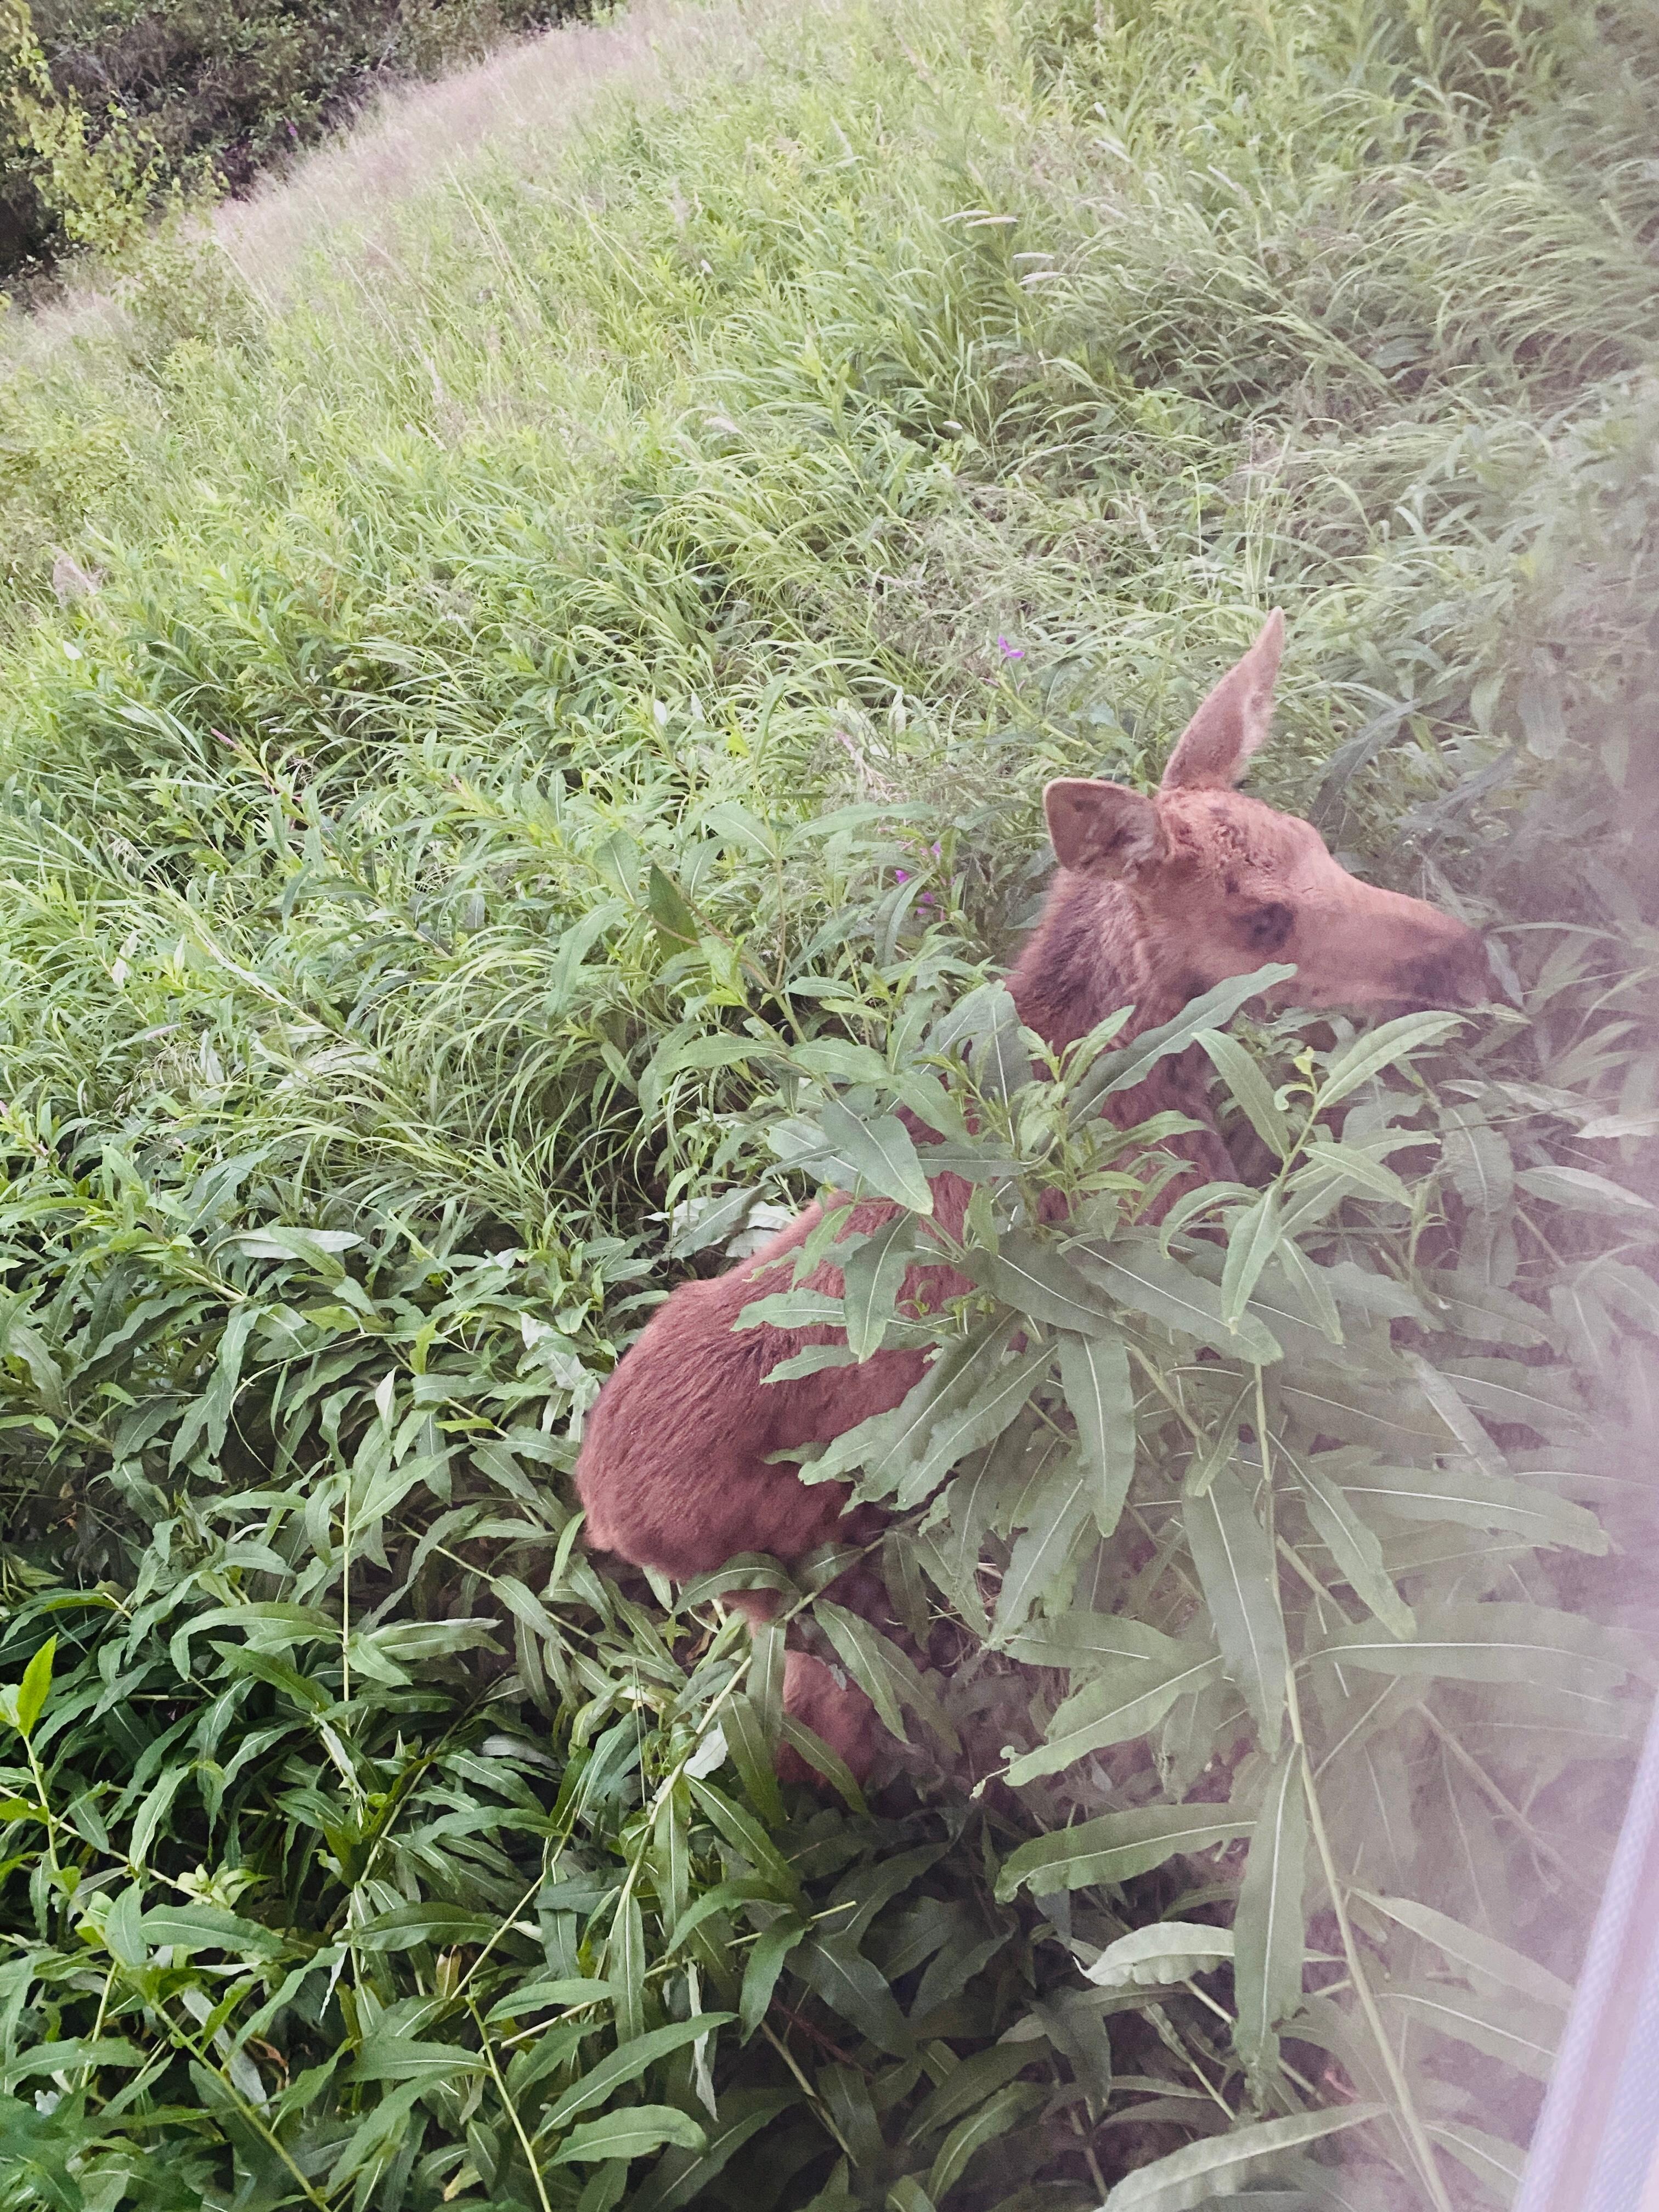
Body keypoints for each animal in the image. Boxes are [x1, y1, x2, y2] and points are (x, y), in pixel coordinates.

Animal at [574, 615, 1490, 1784]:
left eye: (1314, 841)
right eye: (1259, 917)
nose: (1462, 953)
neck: (1115, 1079)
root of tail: (601, 1515)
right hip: (784, 1573)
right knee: (821, 1711)